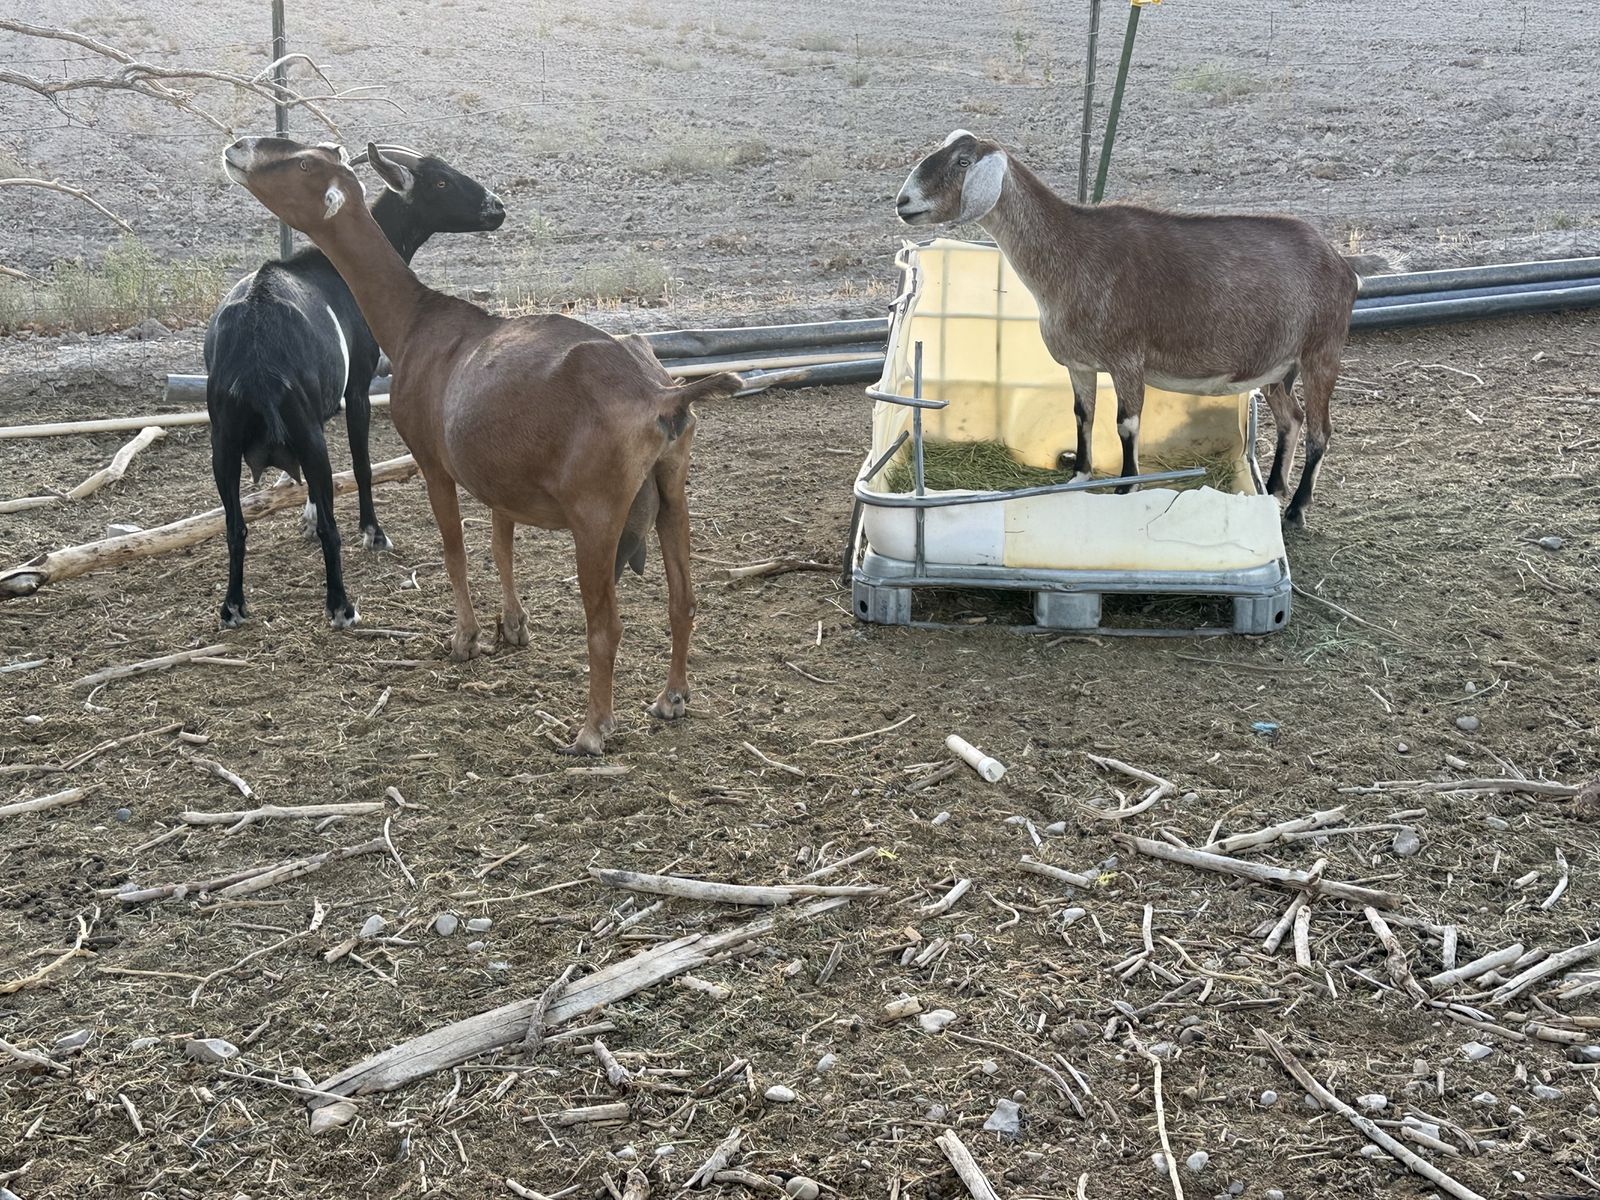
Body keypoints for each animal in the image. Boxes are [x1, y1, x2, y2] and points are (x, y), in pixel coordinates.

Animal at [204, 143, 505, 629]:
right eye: (440, 181)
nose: (497, 208)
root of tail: (255, 351)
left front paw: (306, 518)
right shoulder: (358, 387)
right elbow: (362, 464)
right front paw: (372, 532)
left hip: (225, 440)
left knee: (235, 524)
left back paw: (232, 606)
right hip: (301, 430)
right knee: (331, 522)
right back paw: (341, 606)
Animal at [895, 131, 1359, 526]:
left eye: (962, 161)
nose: (903, 202)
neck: (1074, 253)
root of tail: (1342, 264)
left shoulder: (1128, 359)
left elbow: (1126, 424)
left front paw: (1125, 489)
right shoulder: (1080, 364)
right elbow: (1083, 415)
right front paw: (1079, 476)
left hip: (1322, 351)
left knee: (1320, 431)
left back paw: (1296, 510)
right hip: (1279, 367)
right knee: (1291, 419)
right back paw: (1276, 489)